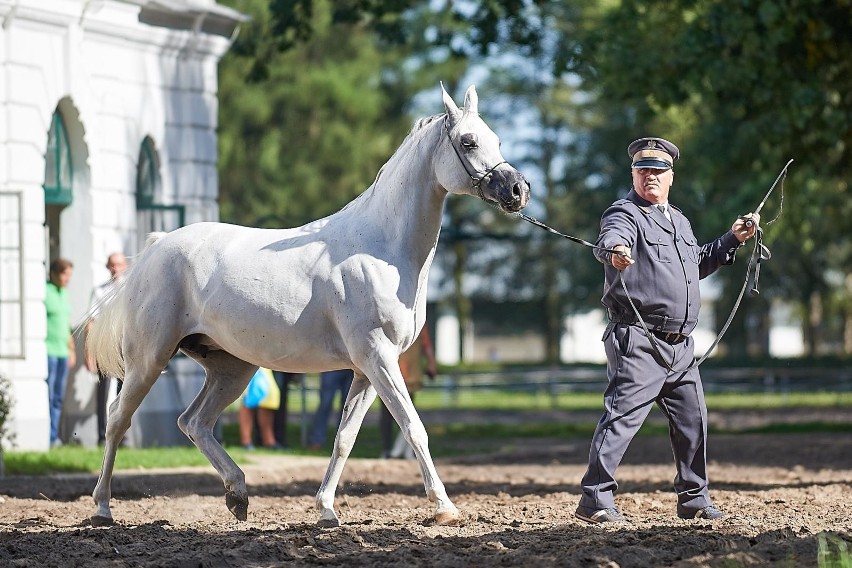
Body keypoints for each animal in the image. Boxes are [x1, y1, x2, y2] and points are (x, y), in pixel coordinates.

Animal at [86, 84, 524, 528]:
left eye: (496, 140)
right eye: (468, 142)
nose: (517, 190)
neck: (381, 248)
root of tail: (156, 247)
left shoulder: (366, 369)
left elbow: (344, 437)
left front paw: (326, 509)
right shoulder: (379, 358)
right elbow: (413, 426)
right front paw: (444, 508)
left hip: (230, 368)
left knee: (194, 422)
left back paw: (238, 495)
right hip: (148, 359)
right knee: (118, 420)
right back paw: (103, 508)